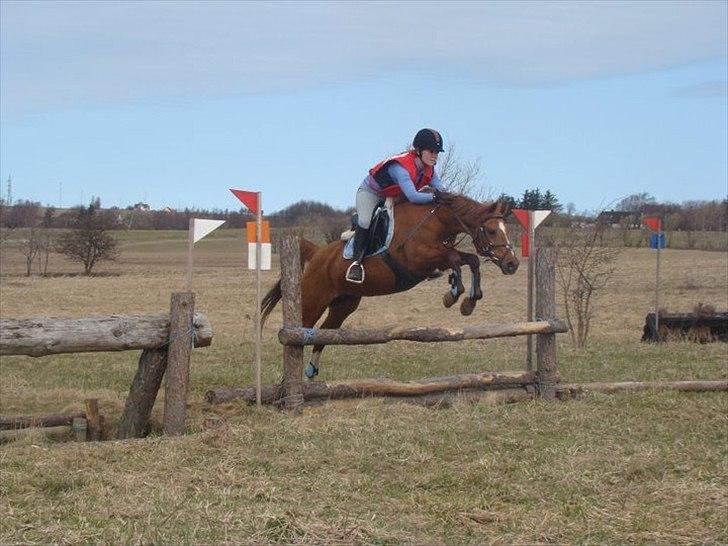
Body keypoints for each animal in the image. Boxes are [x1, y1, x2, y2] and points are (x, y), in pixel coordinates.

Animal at [262, 192, 516, 378]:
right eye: (492, 231)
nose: (512, 264)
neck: (436, 221)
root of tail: (317, 253)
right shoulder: (417, 260)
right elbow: (454, 258)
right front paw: (453, 293)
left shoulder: (437, 257)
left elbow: (470, 260)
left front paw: (469, 301)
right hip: (314, 300)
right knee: (300, 331)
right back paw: (287, 379)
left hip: (344, 304)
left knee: (323, 333)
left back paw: (311, 372)